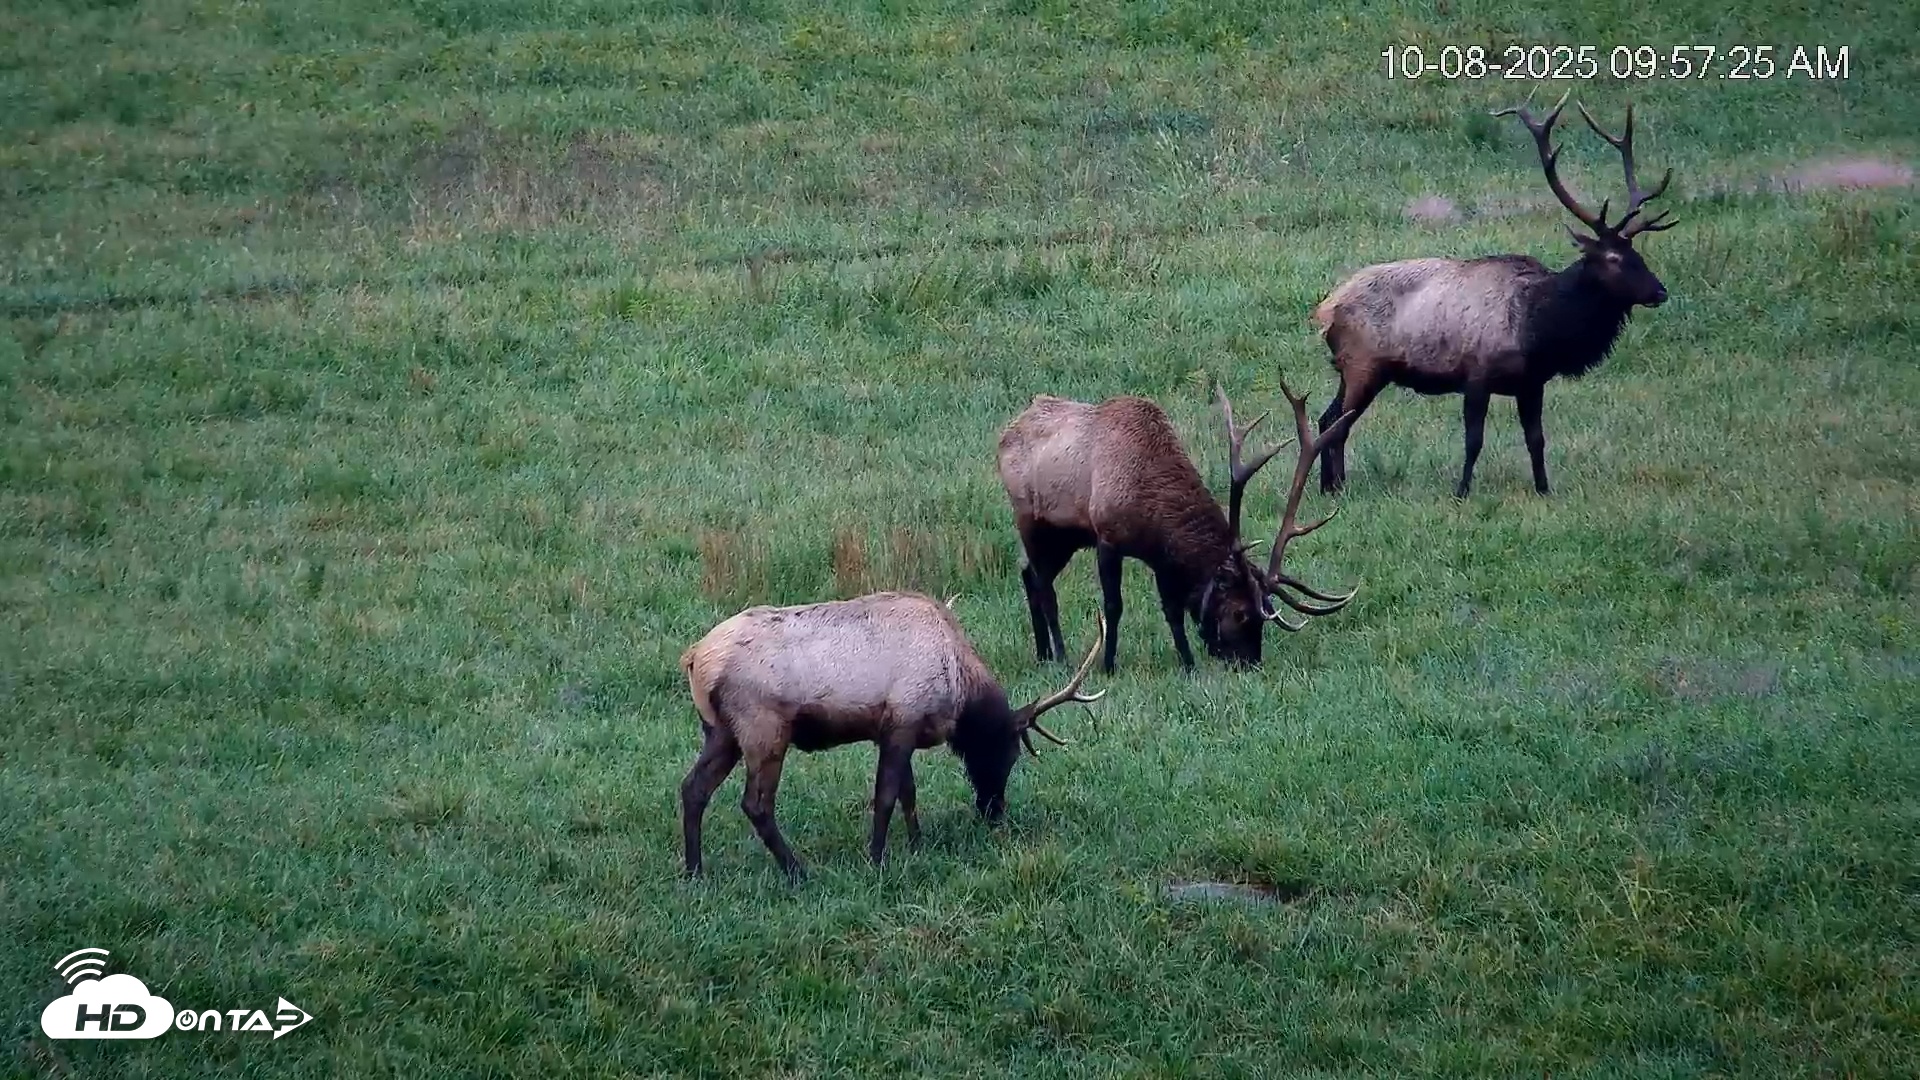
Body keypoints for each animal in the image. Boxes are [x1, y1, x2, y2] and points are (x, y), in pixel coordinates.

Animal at [678, 590, 1105, 880]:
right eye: (1008, 751)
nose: (993, 809)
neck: (957, 686)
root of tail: (695, 658)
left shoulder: (896, 729)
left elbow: (907, 794)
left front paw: (916, 845)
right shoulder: (901, 721)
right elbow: (885, 796)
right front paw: (877, 858)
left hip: (720, 732)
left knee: (693, 788)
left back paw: (695, 871)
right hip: (763, 729)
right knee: (756, 804)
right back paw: (798, 871)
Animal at [996, 374, 1357, 673]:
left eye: (1265, 614)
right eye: (1240, 613)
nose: (1249, 663)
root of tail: (1005, 435)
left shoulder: (1161, 559)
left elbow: (1173, 612)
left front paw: (1188, 664)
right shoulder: (1107, 537)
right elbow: (1113, 606)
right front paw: (1108, 665)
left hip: (1065, 537)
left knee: (1028, 574)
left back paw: (1042, 654)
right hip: (1030, 519)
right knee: (1045, 587)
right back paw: (1059, 656)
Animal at [1311, 91, 1679, 498]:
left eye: (1638, 254)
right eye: (1614, 258)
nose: (1659, 291)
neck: (1540, 329)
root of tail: (1325, 311)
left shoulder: (1532, 383)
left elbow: (1536, 439)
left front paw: (1543, 489)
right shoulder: (1477, 375)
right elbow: (1474, 440)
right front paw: (1461, 490)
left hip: (1357, 370)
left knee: (1328, 419)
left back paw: (1330, 486)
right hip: (1363, 365)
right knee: (1336, 424)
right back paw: (1335, 486)